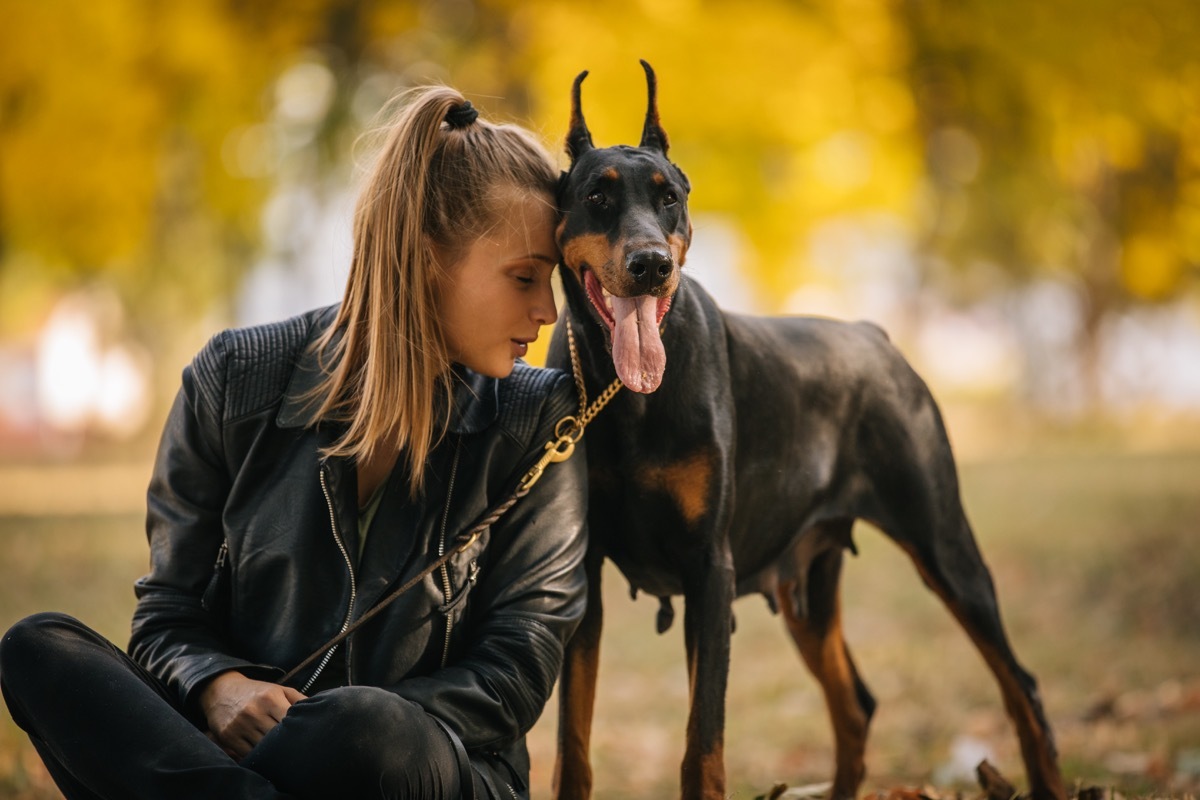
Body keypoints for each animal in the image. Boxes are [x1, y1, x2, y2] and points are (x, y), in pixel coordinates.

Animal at [547, 62, 1070, 800]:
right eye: (597, 195)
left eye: (668, 197)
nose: (651, 263)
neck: (630, 398)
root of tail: (875, 336)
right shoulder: (587, 571)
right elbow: (574, 744)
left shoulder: (710, 570)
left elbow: (702, 746)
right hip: (809, 584)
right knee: (857, 705)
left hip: (944, 544)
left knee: (1020, 683)